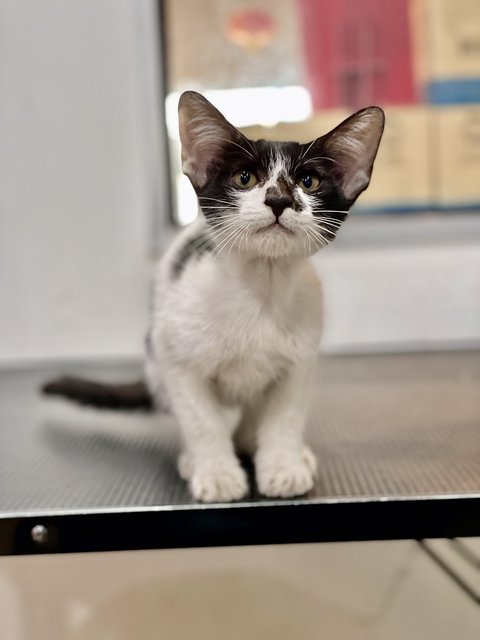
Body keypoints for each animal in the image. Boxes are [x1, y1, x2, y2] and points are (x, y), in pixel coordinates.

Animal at [43, 90, 384, 502]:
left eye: (309, 180)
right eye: (245, 178)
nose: (278, 199)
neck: (260, 289)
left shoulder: (299, 362)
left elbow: (285, 418)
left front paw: (282, 466)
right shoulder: (177, 360)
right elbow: (202, 421)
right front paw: (217, 472)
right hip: (157, 362)